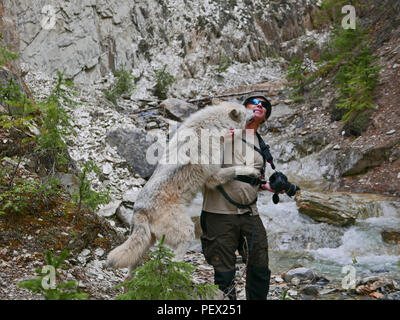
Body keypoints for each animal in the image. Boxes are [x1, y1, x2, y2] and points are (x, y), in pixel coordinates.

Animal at [106, 101, 258, 272]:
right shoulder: (213, 177)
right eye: (245, 110)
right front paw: (253, 171)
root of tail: (139, 210)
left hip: (145, 245)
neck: (214, 126)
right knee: (175, 258)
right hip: (187, 231)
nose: (254, 111)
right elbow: (235, 169)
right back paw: (178, 270)